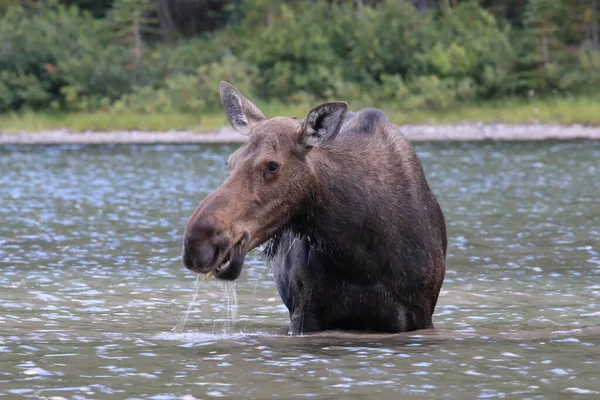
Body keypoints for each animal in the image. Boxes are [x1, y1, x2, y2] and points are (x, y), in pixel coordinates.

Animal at [182, 83, 446, 336]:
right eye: (230, 162)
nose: (198, 242)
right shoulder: (305, 313)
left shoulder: (419, 316)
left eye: (272, 166)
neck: (362, 257)